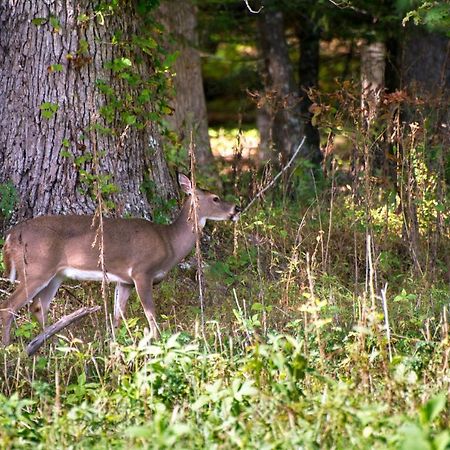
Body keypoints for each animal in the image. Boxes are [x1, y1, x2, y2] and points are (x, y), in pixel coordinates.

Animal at [0, 174, 241, 346]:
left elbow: (118, 316)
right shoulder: (142, 272)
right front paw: (158, 343)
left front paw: (115, 344)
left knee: (38, 307)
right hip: (36, 268)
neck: (169, 242)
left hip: (56, 275)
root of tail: (11, 235)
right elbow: (150, 314)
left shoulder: (124, 281)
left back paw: (51, 345)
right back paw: (9, 346)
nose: (236, 208)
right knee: (9, 306)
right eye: (216, 198)